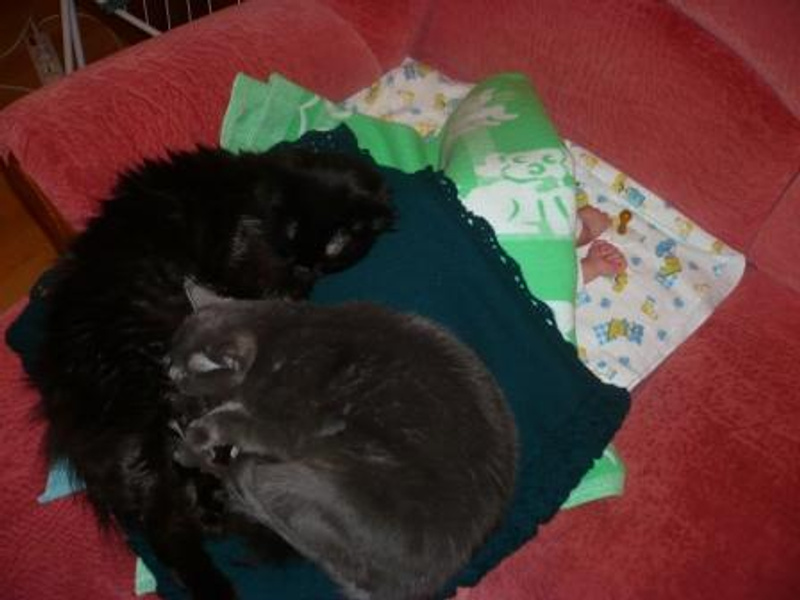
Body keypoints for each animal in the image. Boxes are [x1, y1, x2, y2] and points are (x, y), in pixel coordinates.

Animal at [30, 145, 394, 600]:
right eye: (291, 234)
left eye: (334, 246)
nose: (303, 267)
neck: (255, 196)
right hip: (153, 394)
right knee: (166, 523)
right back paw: (217, 582)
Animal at [167, 282, 519, 600]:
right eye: (171, 363)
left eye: (184, 374)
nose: (168, 372)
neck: (273, 338)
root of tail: (414, 585)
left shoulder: (282, 425)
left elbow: (232, 421)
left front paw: (196, 436)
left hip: (293, 478)